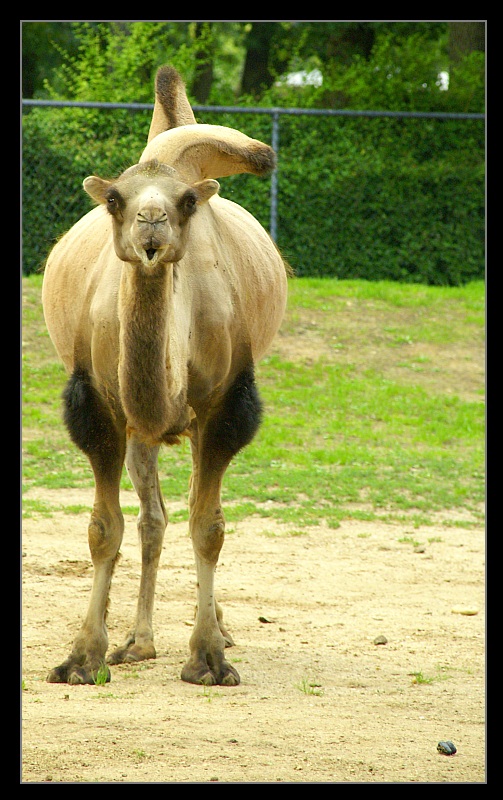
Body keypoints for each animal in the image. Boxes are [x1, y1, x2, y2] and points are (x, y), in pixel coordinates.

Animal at [41, 67, 290, 688]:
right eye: (115, 199)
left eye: (185, 201)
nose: (151, 225)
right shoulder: (99, 409)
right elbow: (104, 529)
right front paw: (84, 657)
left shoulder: (224, 408)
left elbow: (210, 527)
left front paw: (208, 658)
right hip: (139, 432)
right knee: (152, 519)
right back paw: (137, 641)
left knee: (191, 510)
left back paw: (209, 629)